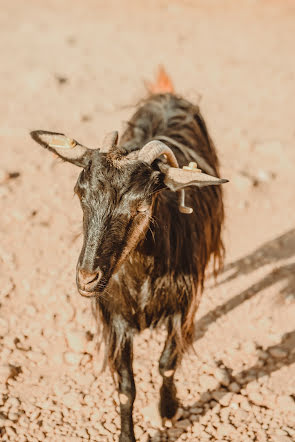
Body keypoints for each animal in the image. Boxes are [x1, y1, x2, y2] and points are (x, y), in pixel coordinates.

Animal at [30, 71, 229, 440]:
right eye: (79, 192)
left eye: (140, 205)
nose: (87, 278)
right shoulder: (116, 317)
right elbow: (125, 386)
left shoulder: (182, 303)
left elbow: (167, 362)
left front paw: (168, 411)